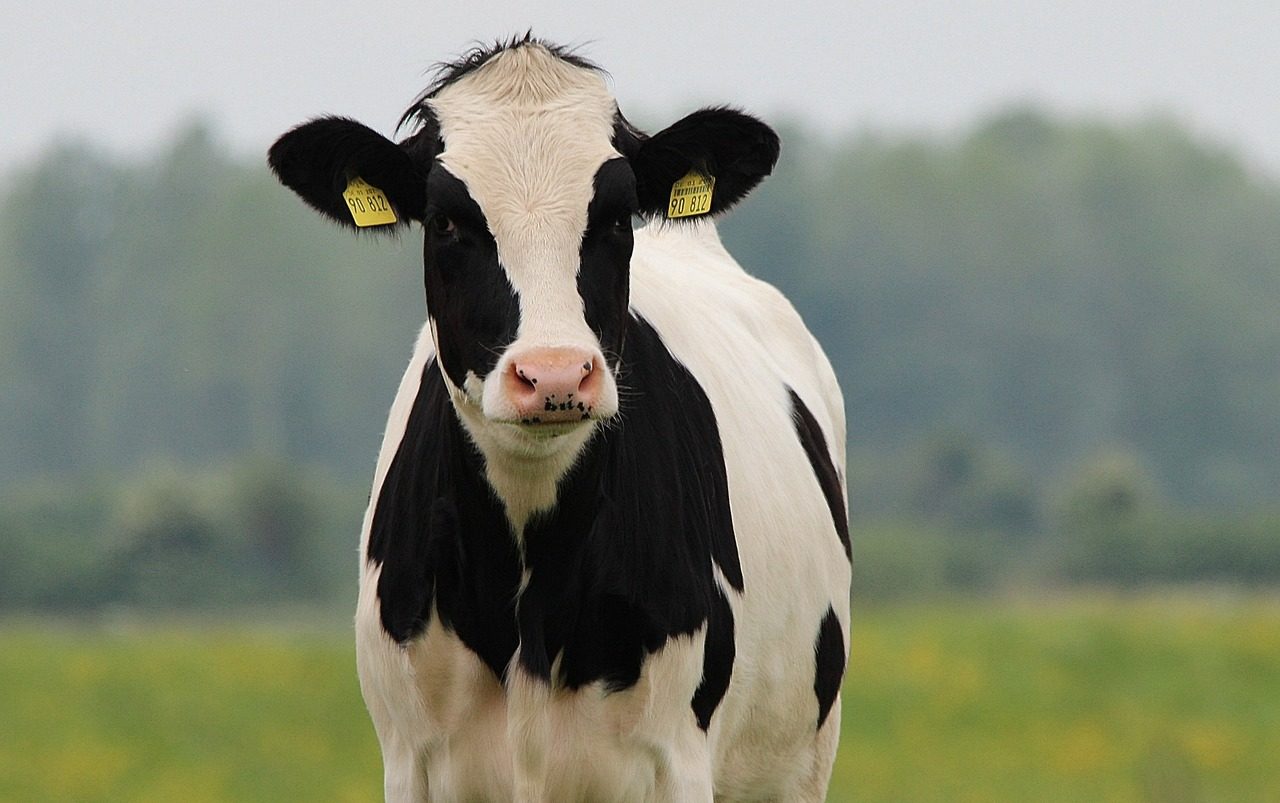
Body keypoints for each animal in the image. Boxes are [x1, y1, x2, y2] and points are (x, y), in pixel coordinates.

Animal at [268, 35, 850, 802]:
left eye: (615, 217)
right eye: (447, 220)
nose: (553, 374)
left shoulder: (677, 756)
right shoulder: (410, 759)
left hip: (796, 764)